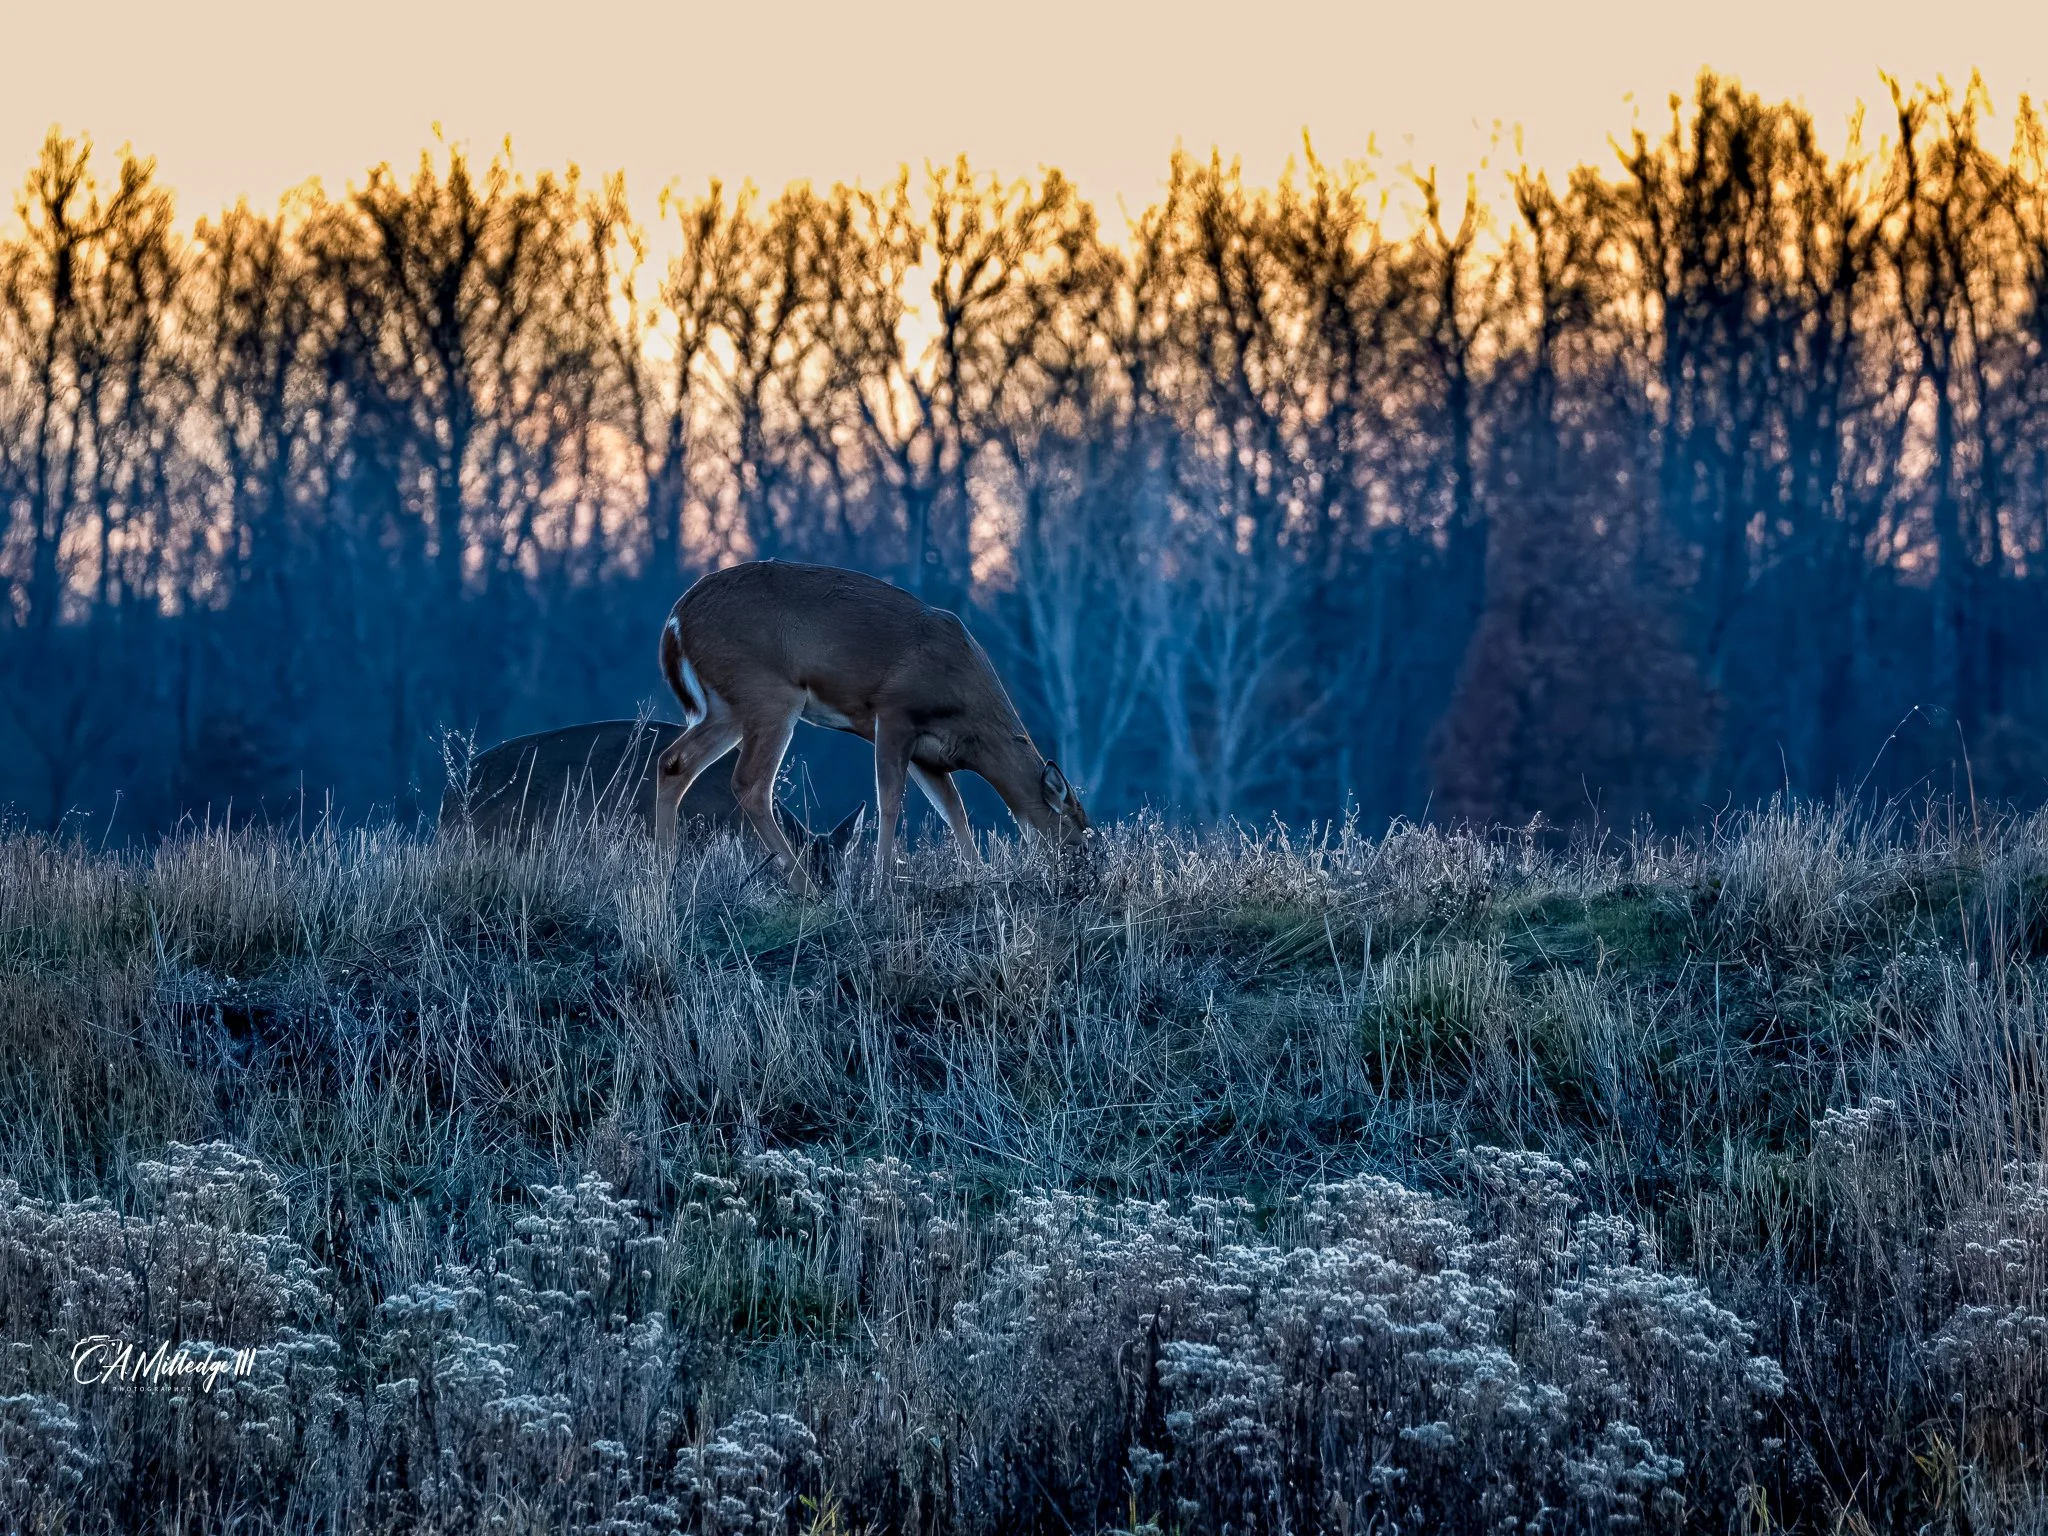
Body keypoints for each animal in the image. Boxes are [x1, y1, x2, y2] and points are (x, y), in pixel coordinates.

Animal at [653, 560, 1089, 895]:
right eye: (1074, 837)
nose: (1081, 879)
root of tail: (676, 621)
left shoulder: (930, 755)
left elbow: (954, 810)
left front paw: (977, 873)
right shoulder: (894, 713)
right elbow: (891, 801)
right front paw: (882, 885)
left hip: (725, 708)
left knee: (674, 762)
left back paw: (663, 874)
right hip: (768, 694)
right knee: (749, 783)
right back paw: (805, 887)